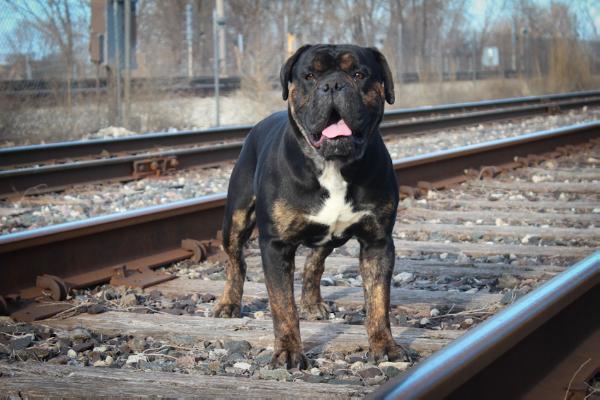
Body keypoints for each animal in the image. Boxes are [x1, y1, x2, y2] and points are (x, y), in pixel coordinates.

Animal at [213, 43, 406, 368]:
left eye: (359, 74)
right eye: (309, 76)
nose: (333, 85)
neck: (333, 164)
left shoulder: (378, 243)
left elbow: (379, 300)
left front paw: (384, 345)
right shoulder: (275, 245)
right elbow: (282, 306)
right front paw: (289, 352)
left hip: (330, 236)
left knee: (314, 262)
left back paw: (313, 303)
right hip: (237, 217)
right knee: (235, 261)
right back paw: (228, 303)